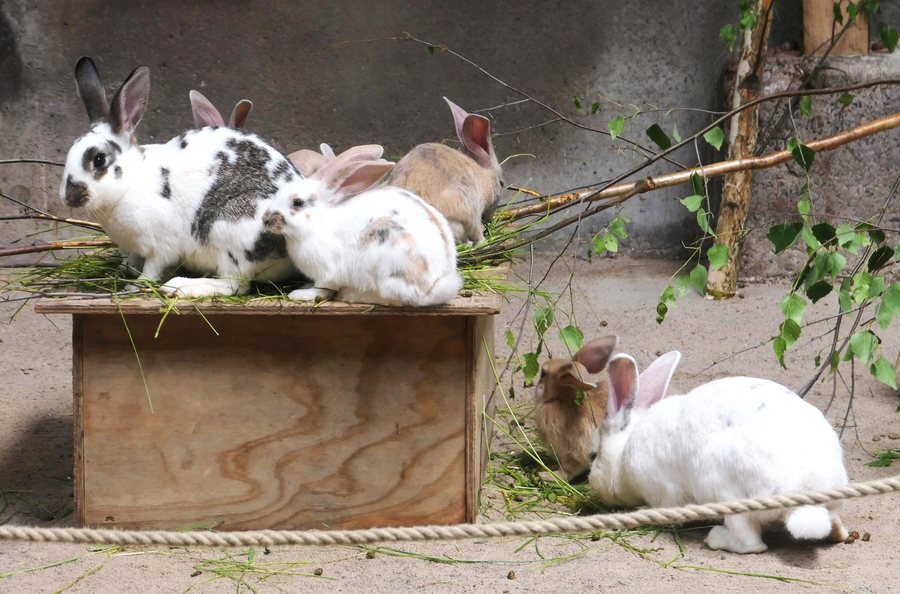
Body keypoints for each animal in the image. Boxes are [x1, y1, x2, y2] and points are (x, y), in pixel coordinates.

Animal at [59, 57, 303, 298]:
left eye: (99, 159)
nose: (69, 197)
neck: (131, 183)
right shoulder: (132, 249)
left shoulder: (161, 246)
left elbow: (152, 269)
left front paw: (137, 284)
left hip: (230, 232)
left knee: (234, 285)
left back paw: (181, 287)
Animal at [261, 152, 463, 307]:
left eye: (297, 203)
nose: (265, 219)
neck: (318, 221)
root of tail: (433, 286)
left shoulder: (326, 271)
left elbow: (322, 288)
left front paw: (300, 294)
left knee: (394, 299)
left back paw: (351, 295)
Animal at [386, 97, 502, 245]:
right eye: (502, 183)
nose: (490, 219)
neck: (483, 174)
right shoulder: (474, 211)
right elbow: (477, 233)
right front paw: (483, 239)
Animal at [534, 335, 618, 481]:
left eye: (543, 374)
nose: (535, 390)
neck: (562, 400)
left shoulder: (577, 450)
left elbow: (569, 470)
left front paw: (547, 475)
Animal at [588, 351, 850, 554]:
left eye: (594, 455)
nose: (591, 481)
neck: (625, 451)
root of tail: (808, 494)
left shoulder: (664, 493)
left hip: (724, 491)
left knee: (750, 543)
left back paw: (715, 538)